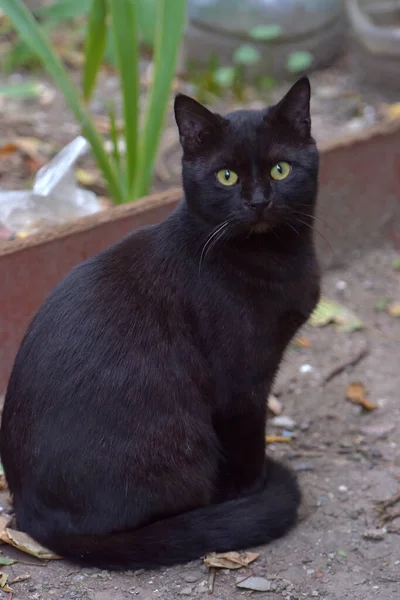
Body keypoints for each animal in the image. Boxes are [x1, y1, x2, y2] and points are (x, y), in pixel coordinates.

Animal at [0, 77, 318, 568]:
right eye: (226, 176)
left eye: (281, 169)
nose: (258, 201)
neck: (272, 255)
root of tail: (35, 521)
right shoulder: (240, 385)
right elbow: (247, 443)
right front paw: (250, 491)